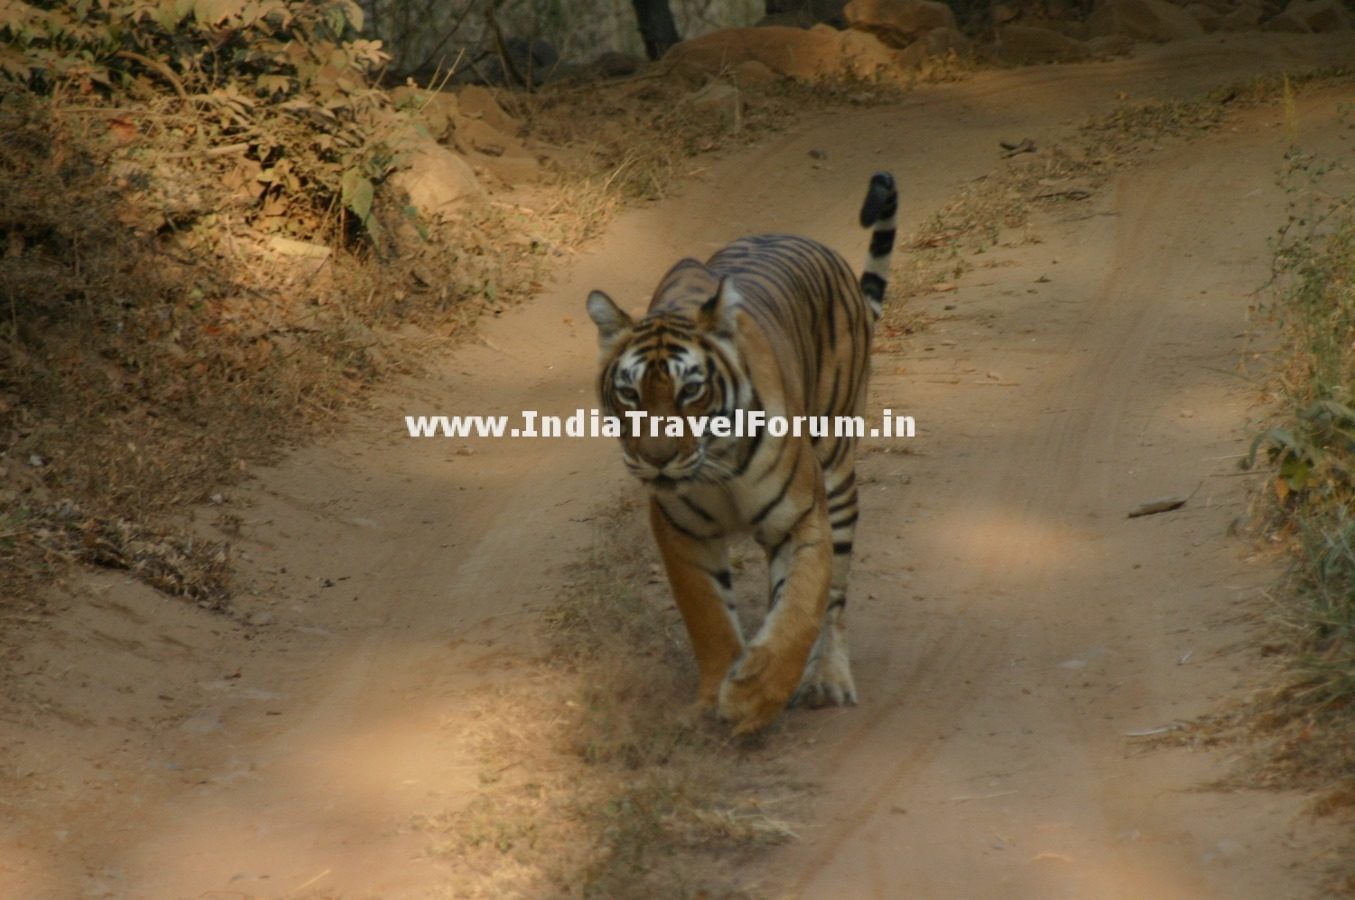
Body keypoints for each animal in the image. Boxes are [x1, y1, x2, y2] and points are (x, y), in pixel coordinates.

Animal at [585, 172, 894, 737]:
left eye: (690, 391)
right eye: (630, 394)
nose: (657, 459)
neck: (714, 465)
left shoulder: (803, 519)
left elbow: (800, 608)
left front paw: (754, 696)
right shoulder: (680, 531)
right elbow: (708, 616)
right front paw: (718, 693)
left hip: (838, 467)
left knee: (835, 600)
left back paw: (826, 680)